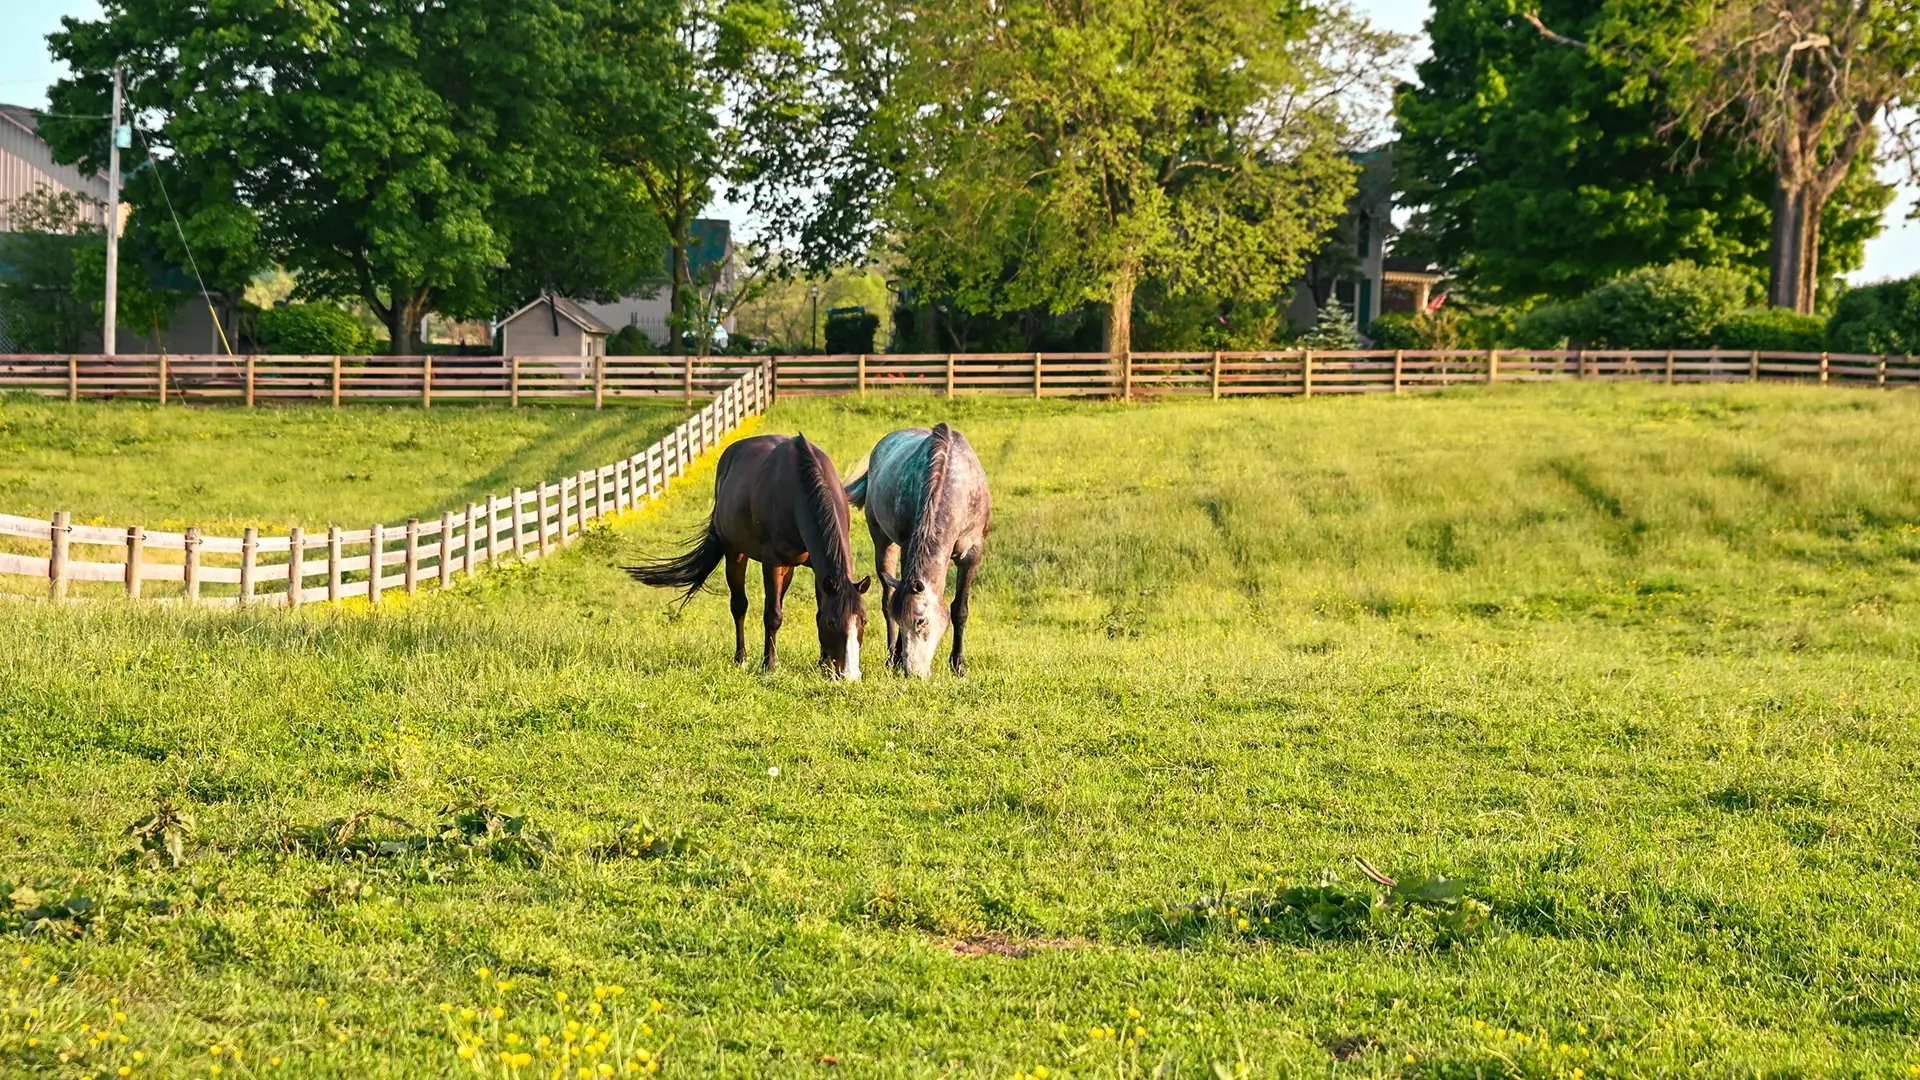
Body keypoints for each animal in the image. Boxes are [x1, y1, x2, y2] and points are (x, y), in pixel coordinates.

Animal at [625, 432, 875, 676]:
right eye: (832, 623)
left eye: (863, 621)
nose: (850, 674)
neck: (799, 488)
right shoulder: (772, 562)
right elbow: (773, 615)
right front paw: (769, 666)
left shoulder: (818, 569)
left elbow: (817, 610)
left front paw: (824, 665)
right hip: (735, 553)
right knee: (739, 605)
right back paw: (741, 659)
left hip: (788, 567)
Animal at [844, 420, 990, 672]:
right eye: (902, 620)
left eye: (922, 621)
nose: (912, 671)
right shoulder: (906, 545)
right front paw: (896, 657)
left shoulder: (972, 552)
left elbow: (960, 609)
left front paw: (958, 665)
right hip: (883, 541)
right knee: (886, 598)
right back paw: (890, 656)